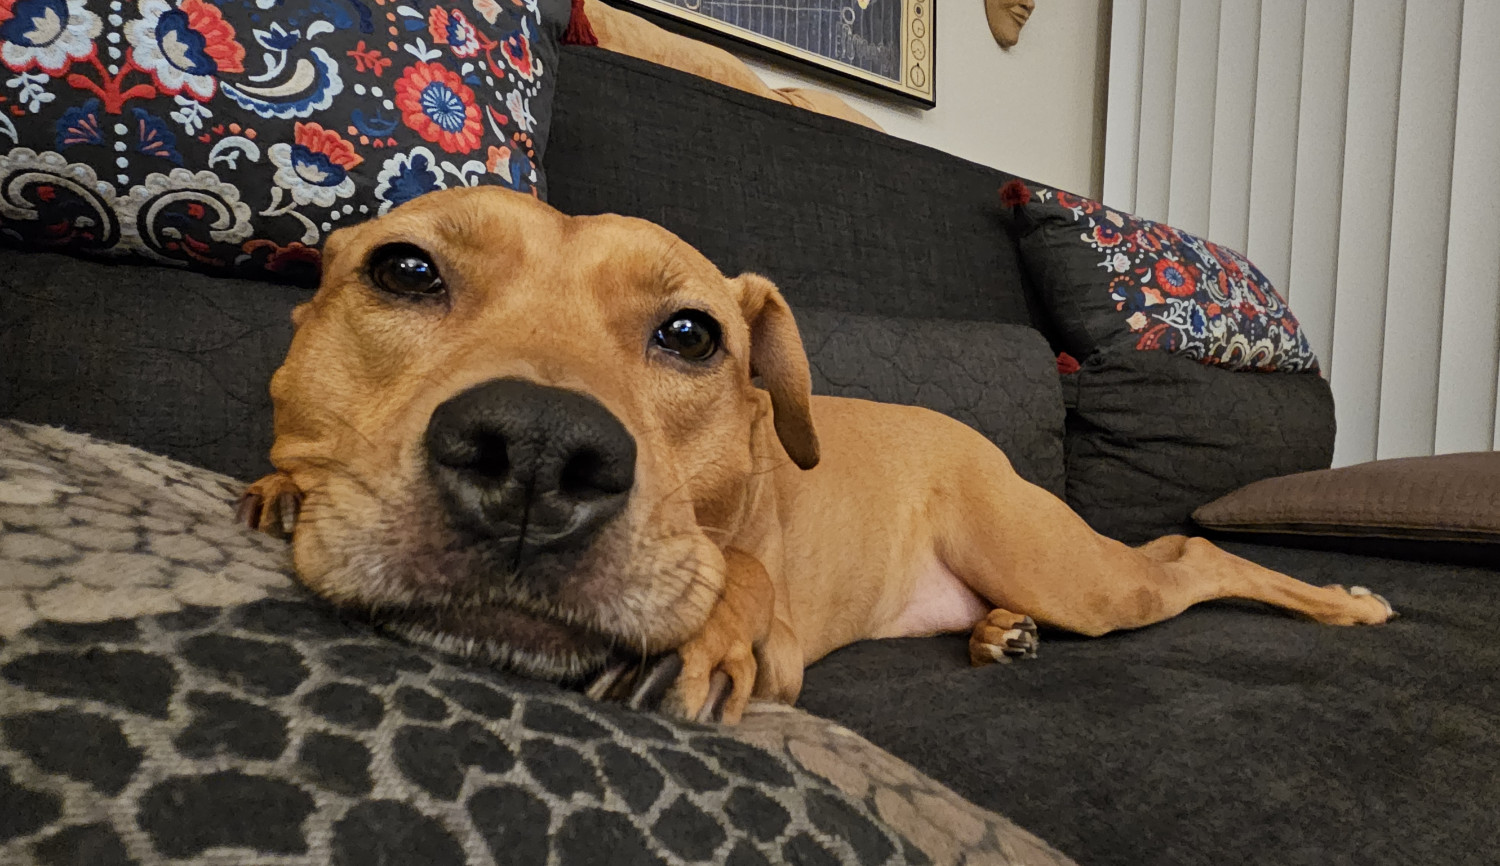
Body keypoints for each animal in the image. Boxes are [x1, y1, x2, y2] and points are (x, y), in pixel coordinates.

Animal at [237, 187, 1392, 723]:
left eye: (690, 334)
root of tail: (977, 438)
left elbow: (741, 575)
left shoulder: (779, 632)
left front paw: (704, 631)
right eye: (404, 270)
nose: (534, 450)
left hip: (1078, 576)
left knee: (1190, 557)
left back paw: (1344, 602)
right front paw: (284, 484)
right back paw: (999, 633)